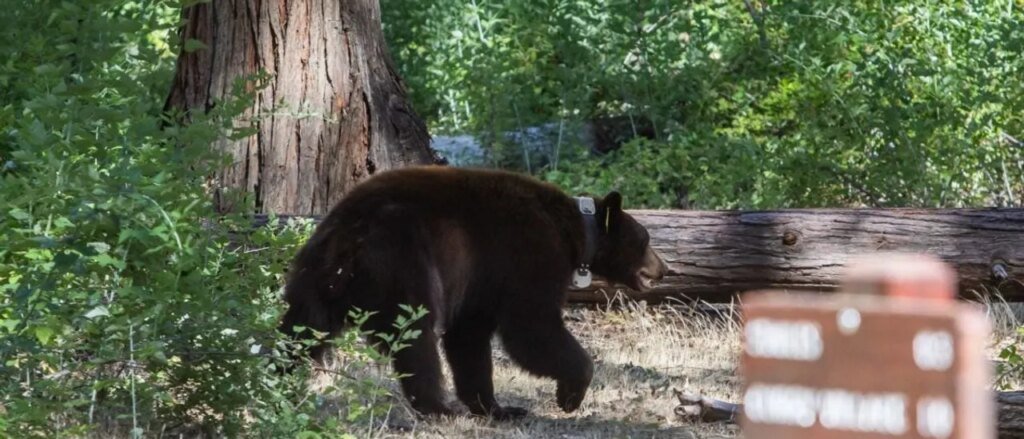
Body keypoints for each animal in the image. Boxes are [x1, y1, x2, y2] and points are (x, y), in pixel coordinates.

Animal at [278, 165, 668, 420]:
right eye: (645, 239)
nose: (664, 268)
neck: (575, 233)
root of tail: (348, 234)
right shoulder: (528, 254)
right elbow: (531, 328)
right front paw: (570, 394)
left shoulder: (482, 280)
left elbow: (470, 338)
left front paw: (498, 407)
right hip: (402, 259)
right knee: (415, 333)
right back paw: (438, 407)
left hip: (313, 277)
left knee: (300, 331)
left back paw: (281, 385)